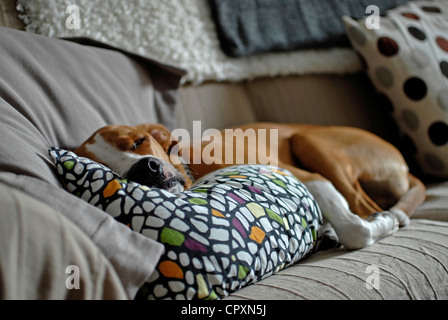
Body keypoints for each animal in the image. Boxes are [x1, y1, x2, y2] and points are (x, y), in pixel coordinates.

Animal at [74, 122, 428, 250]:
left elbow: (356, 230)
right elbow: (354, 227)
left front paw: (382, 225)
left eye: (138, 141)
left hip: (307, 139)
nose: (146, 168)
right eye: (107, 169)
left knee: (363, 206)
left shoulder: (305, 175)